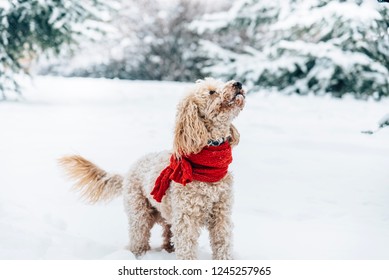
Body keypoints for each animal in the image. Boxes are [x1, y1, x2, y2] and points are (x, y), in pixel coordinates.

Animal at [58, 77, 244, 260]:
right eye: (212, 92)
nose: (238, 83)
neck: (210, 163)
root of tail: (128, 173)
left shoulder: (221, 215)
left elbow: (223, 244)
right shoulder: (186, 218)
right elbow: (187, 250)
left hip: (166, 215)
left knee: (167, 235)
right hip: (140, 214)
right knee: (139, 238)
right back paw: (138, 255)